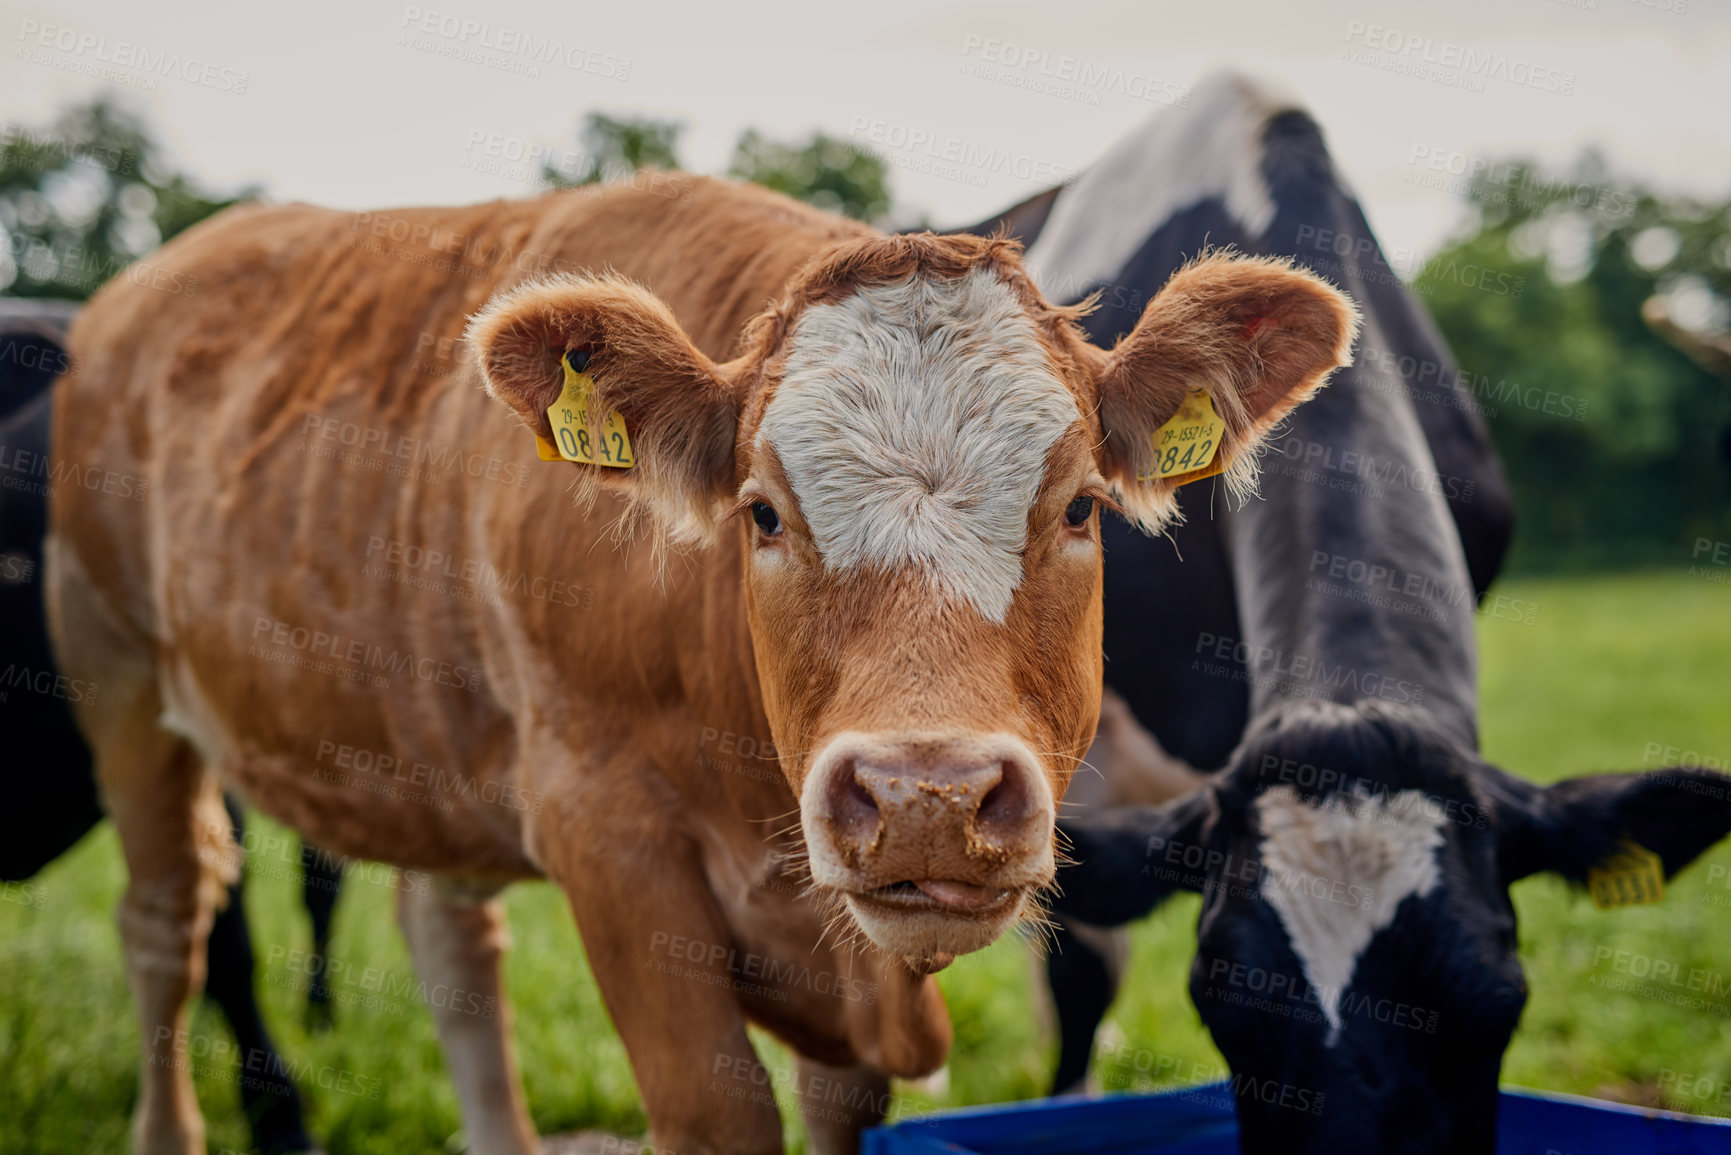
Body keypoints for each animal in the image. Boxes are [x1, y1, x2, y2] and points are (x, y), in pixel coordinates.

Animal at [47, 174, 1357, 1155]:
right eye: (762, 514)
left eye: (1081, 506)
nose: (925, 799)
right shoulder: (607, 838)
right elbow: (717, 1111)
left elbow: (841, 1106)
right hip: (117, 676)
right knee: (165, 924)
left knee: (451, 946)